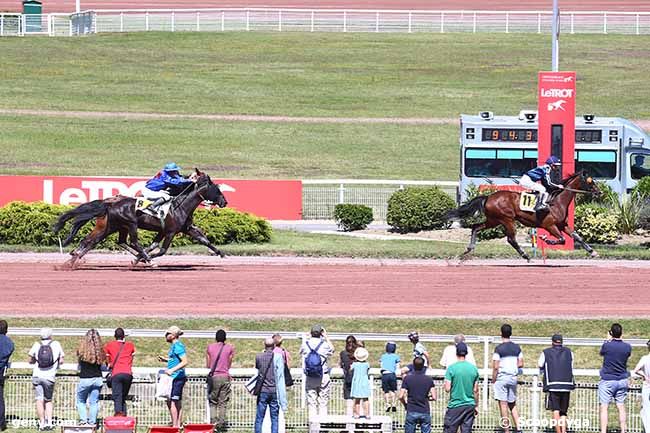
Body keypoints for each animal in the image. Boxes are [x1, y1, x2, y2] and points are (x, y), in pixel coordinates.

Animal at [52, 168, 227, 266]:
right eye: (217, 190)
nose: (224, 202)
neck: (180, 206)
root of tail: (110, 204)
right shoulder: (170, 231)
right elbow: (161, 250)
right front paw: (142, 259)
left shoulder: (183, 228)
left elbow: (204, 239)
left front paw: (221, 253)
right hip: (130, 224)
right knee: (132, 242)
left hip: (112, 227)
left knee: (94, 241)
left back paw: (72, 259)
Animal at [442, 171, 600, 260]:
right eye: (590, 181)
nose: (599, 192)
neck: (557, 201)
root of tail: (488, 197)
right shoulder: (549, 225)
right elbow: (561, 239)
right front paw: (545, 239)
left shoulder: (562, 224)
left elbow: (577, 237)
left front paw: (592, 252)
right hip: (507, 219)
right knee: (511, 239)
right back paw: (526, 255)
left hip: (493, 220)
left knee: (475, 227)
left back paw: (469, 248)